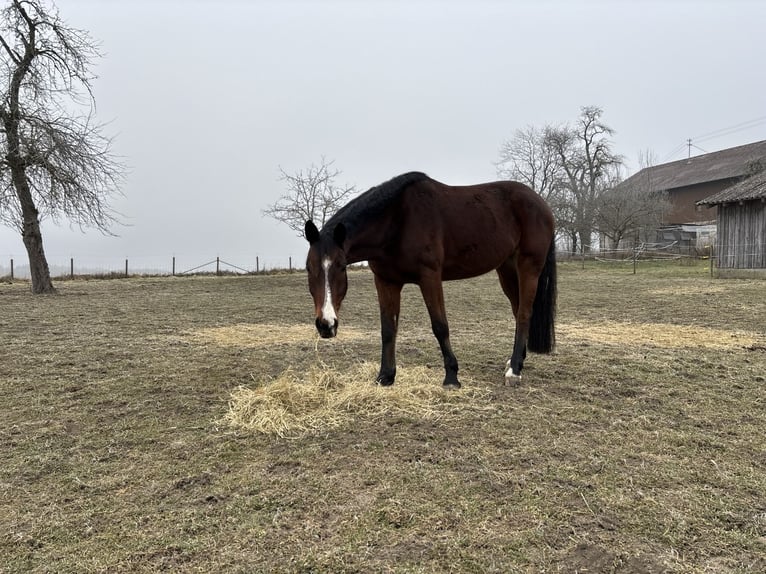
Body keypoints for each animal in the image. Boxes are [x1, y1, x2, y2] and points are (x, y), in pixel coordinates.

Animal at [306, 170, 560, 388]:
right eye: (309, 268)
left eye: (341, 267)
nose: (326, 325)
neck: (397, 220)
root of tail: (541, 204)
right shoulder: (386, 281)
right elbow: (388, 329)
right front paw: (385, 376)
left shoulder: (429, 277)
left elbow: (440, 326)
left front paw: (452, 377)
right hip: (506, 270)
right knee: (517, 311)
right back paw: (516, 362)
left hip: (529, 267)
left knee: (524, 314)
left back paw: (514, 371)